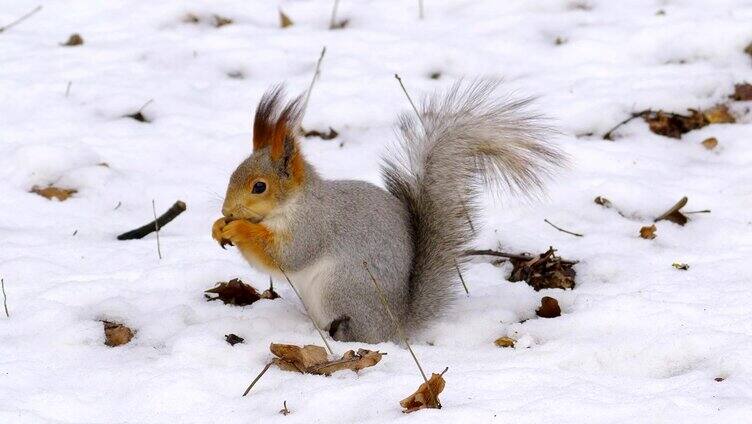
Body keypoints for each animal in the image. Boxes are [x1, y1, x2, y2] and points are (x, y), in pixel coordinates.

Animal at [212, 80, 564, 344]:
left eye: (260, 187)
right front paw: (219, 226)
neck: (293, 204)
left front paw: (238, 228)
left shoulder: (313, 227)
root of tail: (397, 324)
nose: (227, 209)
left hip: (342, 286)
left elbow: (285, 257)